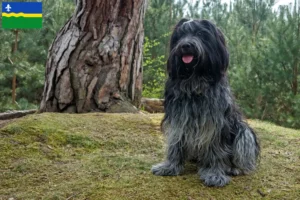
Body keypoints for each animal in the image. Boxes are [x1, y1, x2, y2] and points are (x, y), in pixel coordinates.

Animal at [151, 18, 258, 186]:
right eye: (181, 35)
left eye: (200, 34)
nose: (185, 45)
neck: (194, 80)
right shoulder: (178, 118)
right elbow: (175, 142)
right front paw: (170, 166)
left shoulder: (216, 122)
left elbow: (216, 149)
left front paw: (215, 173)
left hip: (243, 131)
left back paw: (234, 168)